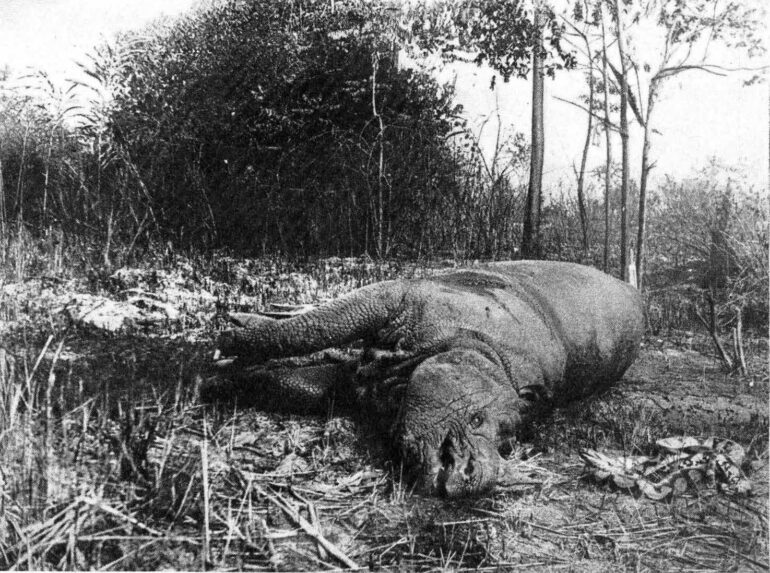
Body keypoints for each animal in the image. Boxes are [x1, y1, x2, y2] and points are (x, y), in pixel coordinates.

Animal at [212, 261, 644, 497]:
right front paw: (231, 341)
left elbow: (297, 379)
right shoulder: (396, 296)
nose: (473, 478)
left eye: (508, 442)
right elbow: (313, 328)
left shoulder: (355, 379)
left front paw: (223, 376)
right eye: (476, 419)